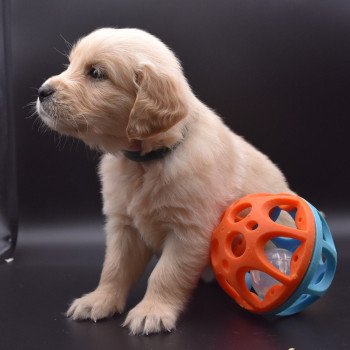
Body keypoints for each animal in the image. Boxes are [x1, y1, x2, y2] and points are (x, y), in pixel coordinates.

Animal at [36, 27, 290, 334]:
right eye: (70, 64)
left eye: (96, 73)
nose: (41, 92)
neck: (145, 162)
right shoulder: (124, 226)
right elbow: (114, 268)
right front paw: (99, 300)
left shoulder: (189, 232)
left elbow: (166, 273)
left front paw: (152, 312)